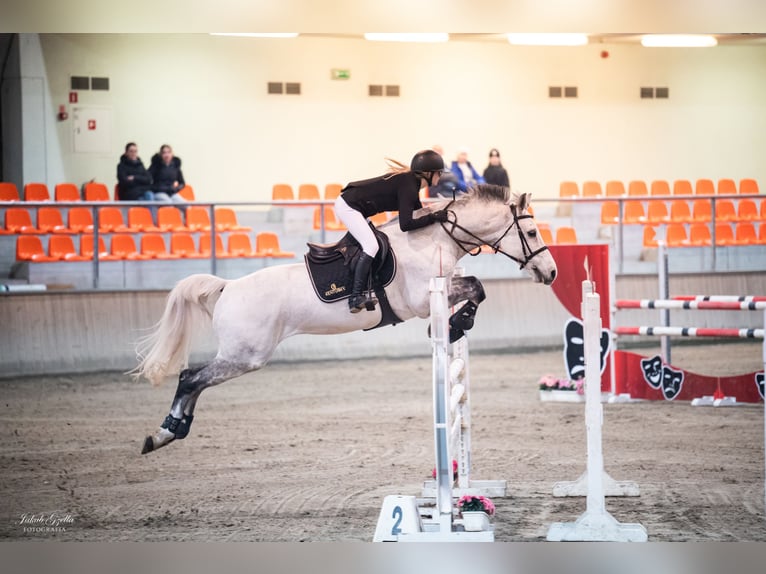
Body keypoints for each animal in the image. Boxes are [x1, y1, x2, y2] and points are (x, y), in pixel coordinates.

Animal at [138, 187, 556, 456]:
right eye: (532, 232)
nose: (551, 272)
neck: (435, 238)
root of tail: (228, 286)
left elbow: (476, 287)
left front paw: (457, 324)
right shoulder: (423, 301)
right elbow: (476, 288)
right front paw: (455, 325)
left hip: (241, 355)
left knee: (193, 380)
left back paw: (172, 431)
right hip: (246, 354)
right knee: (190, 378)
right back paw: (162, 434)